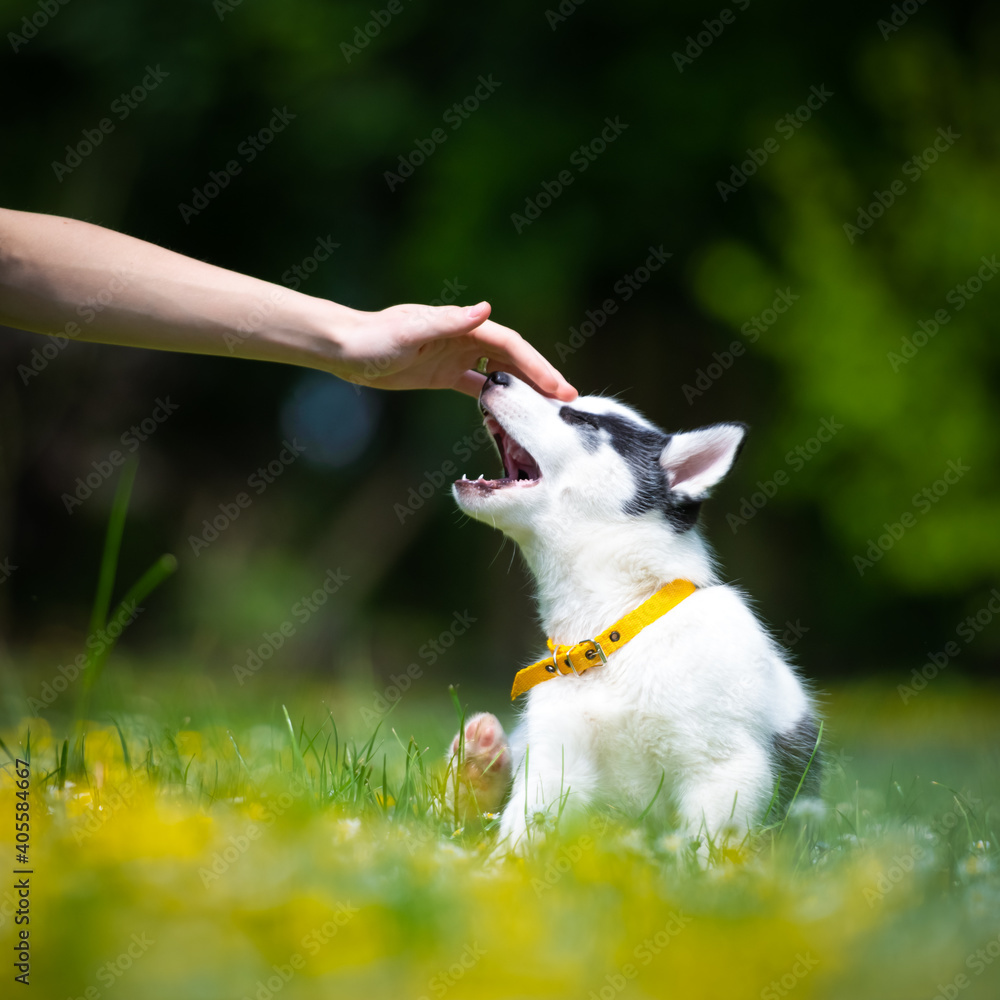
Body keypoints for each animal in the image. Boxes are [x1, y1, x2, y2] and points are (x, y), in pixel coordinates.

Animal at [454, 372, 820, 856]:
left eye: (581, 419)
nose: (495, 374)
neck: (612, 627)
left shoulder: (726, 769)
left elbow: (707, 848)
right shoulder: (554, 762)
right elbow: (518, 836)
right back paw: (477, 765)